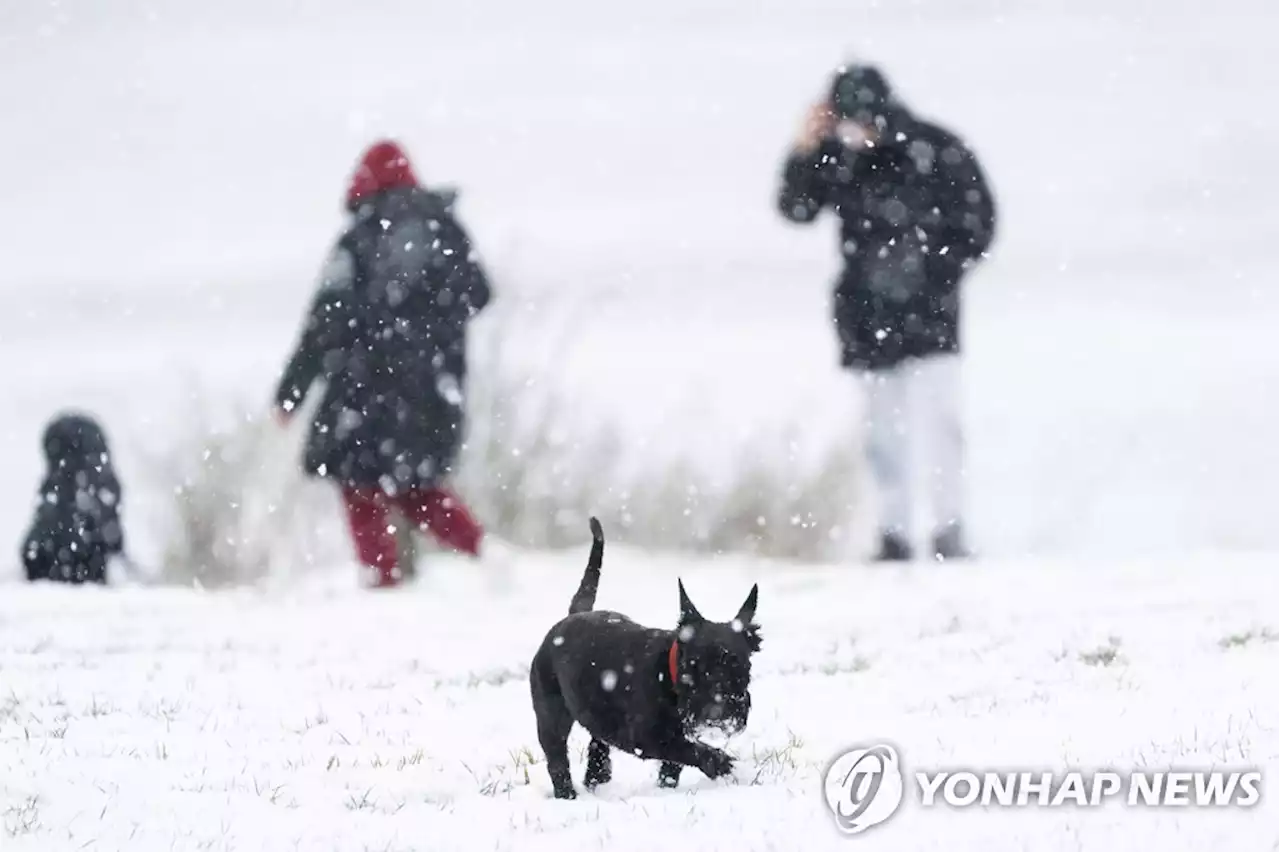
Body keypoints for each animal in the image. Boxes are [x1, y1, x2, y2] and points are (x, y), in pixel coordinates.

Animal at [527, 514, 757, 798]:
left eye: (740, 666)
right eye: (693, 666)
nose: (719, 710)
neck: (668, 675)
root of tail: (572, 615)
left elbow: (673, 763)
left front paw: (667, 788)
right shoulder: (643, 737)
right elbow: (684, 749)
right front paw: (721, 763)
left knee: (596, 742)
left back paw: (597, 777)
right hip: (551, 714)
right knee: (557, 756)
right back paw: (567, 794)